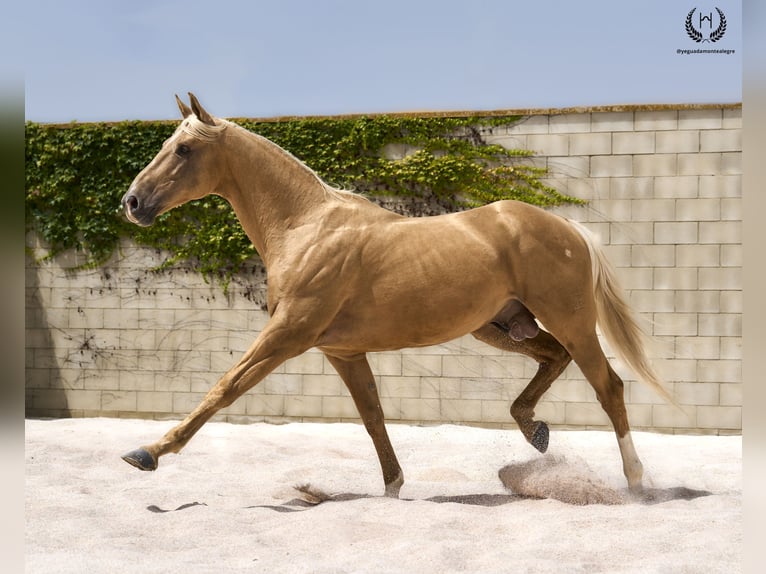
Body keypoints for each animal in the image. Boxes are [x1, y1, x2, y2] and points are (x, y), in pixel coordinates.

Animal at [121, 94, 672, 500]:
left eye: (183, 150)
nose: (132, 203)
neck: (306, 227)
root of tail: (571, 229)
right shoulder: (343, 352)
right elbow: (373, 418)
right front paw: (391, 489)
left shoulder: (288, 335)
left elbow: (224, 388)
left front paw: (148, 452)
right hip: (501, 327)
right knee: (554, 361)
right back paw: (534, 430)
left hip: (571, 322)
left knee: (608, 387)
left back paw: (635, 481)